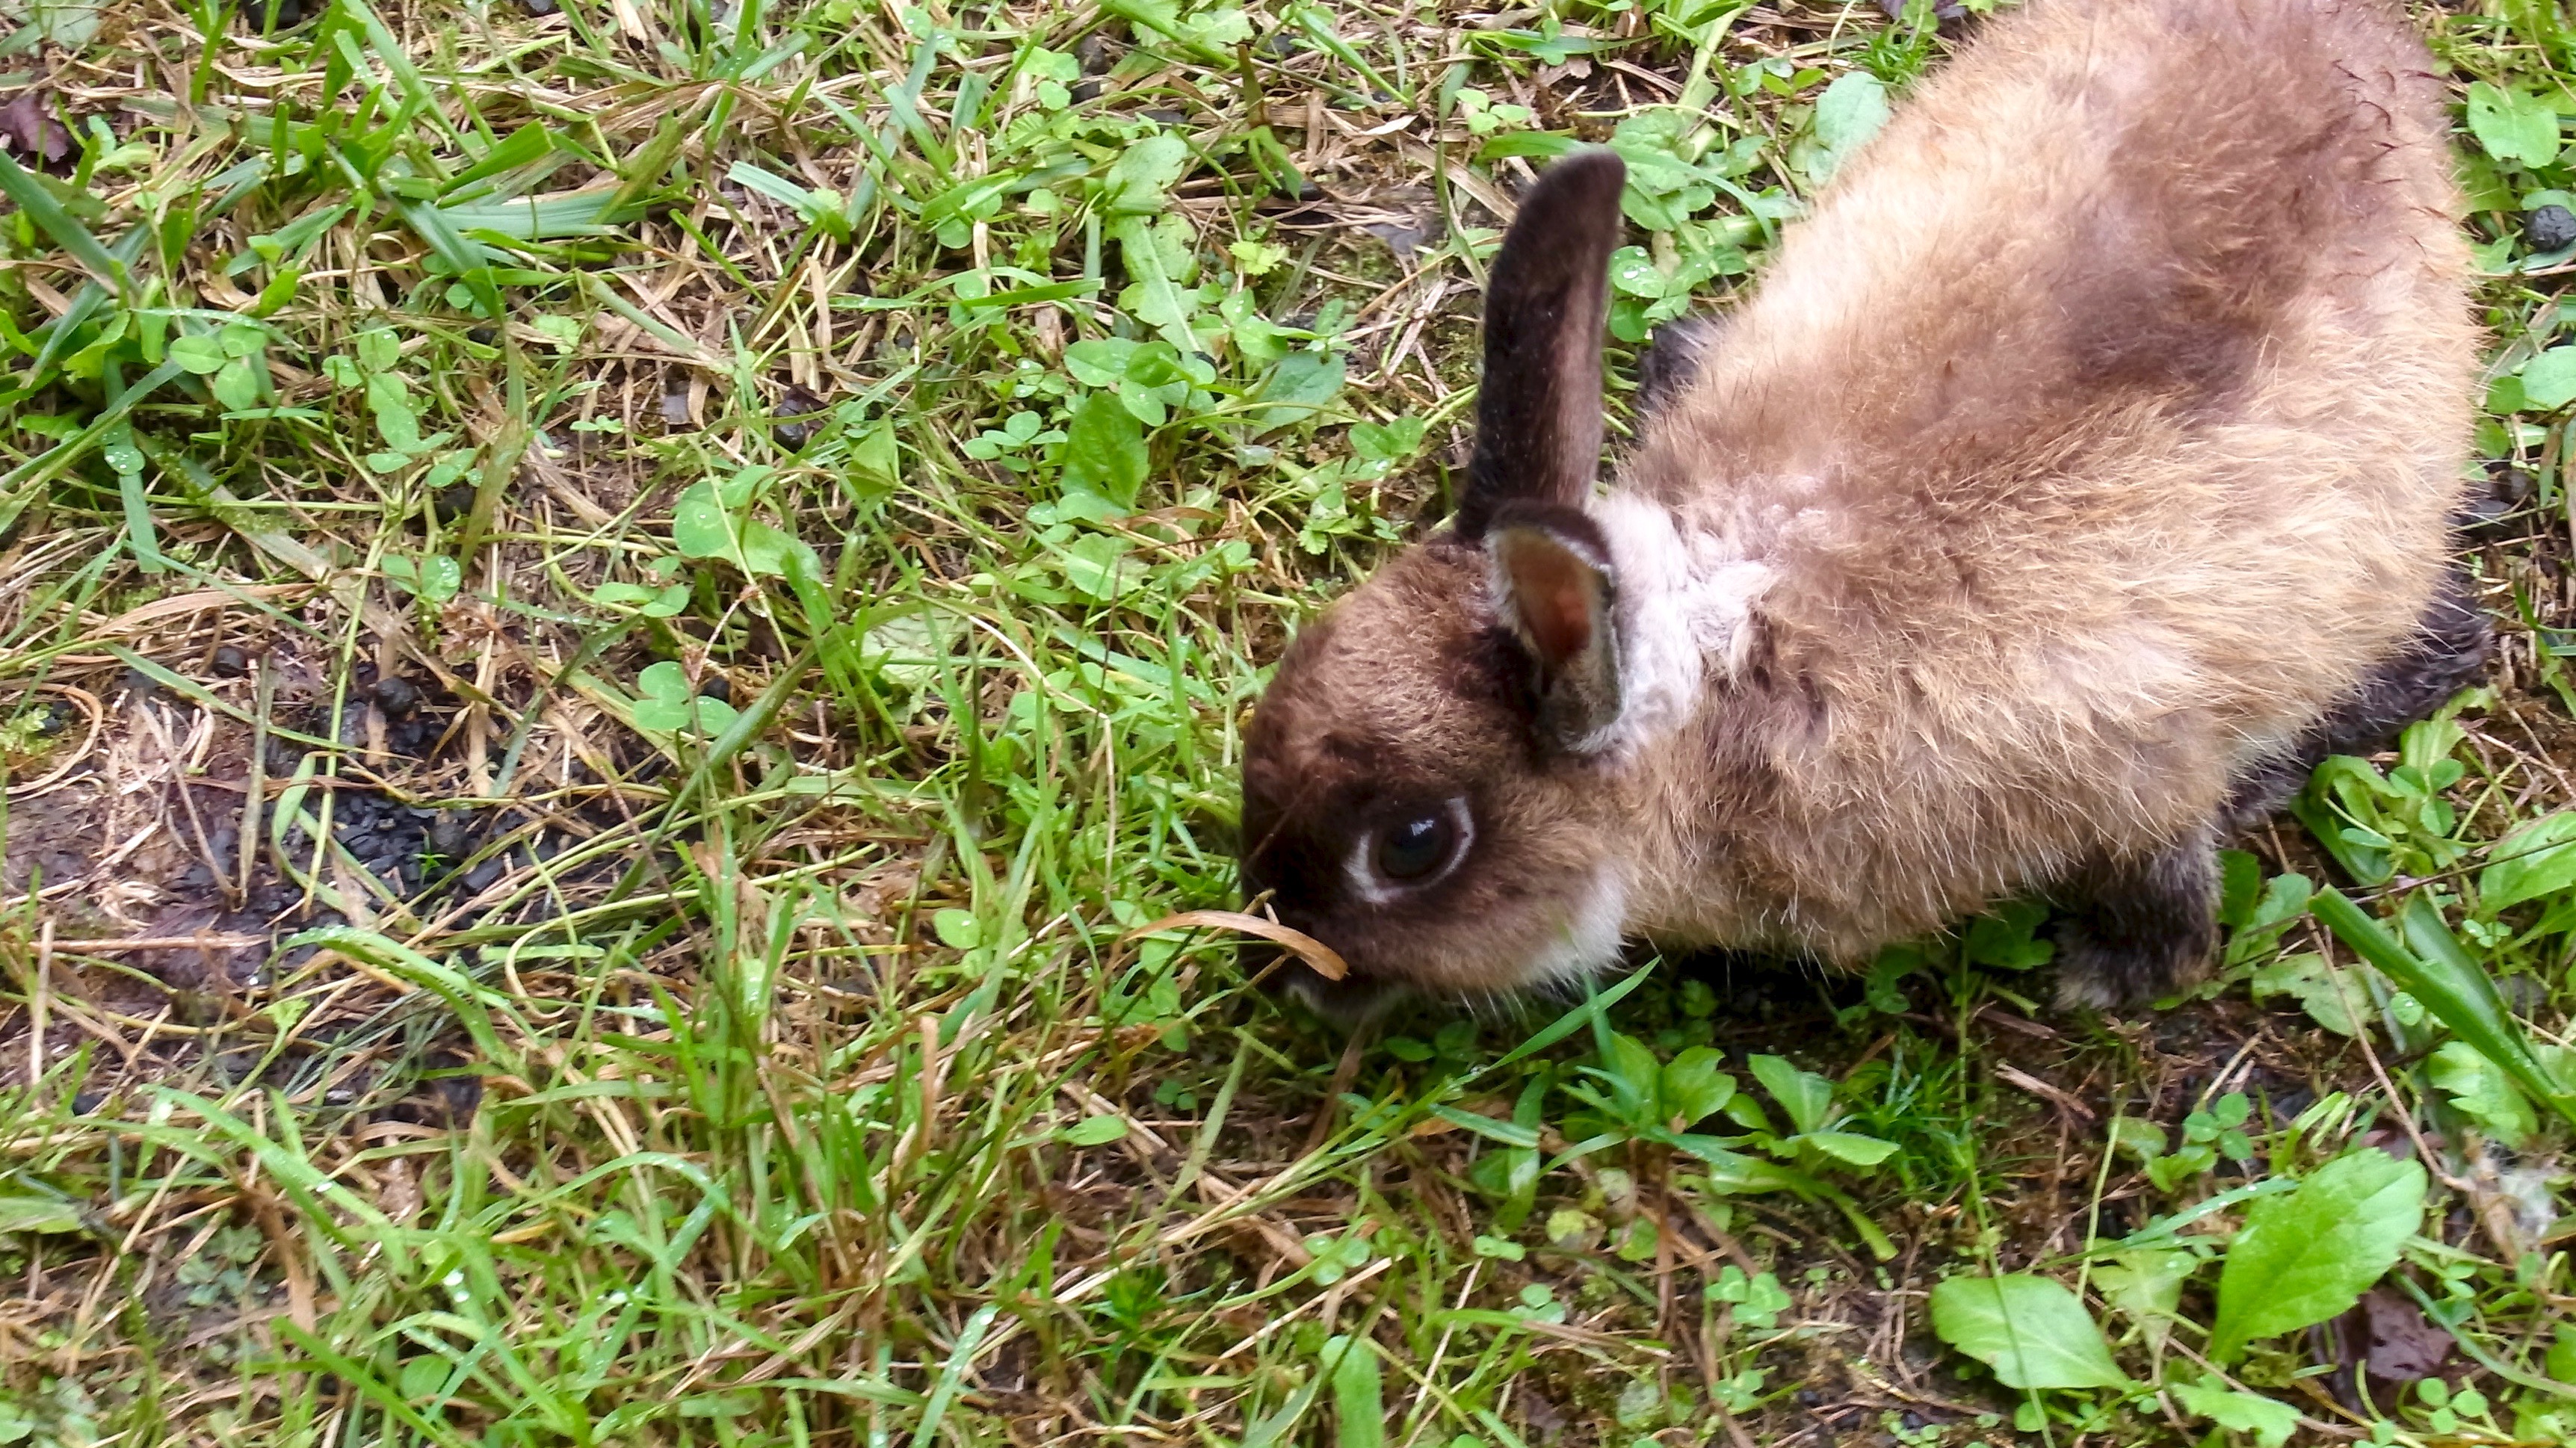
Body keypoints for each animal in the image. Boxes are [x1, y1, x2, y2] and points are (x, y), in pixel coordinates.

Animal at [1236, 0, 2483, 1020]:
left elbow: (2167, 878)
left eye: (1411, 846)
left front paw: (2110, 977)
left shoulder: (2132, 760)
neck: (1730, 670)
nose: (1287, 973)